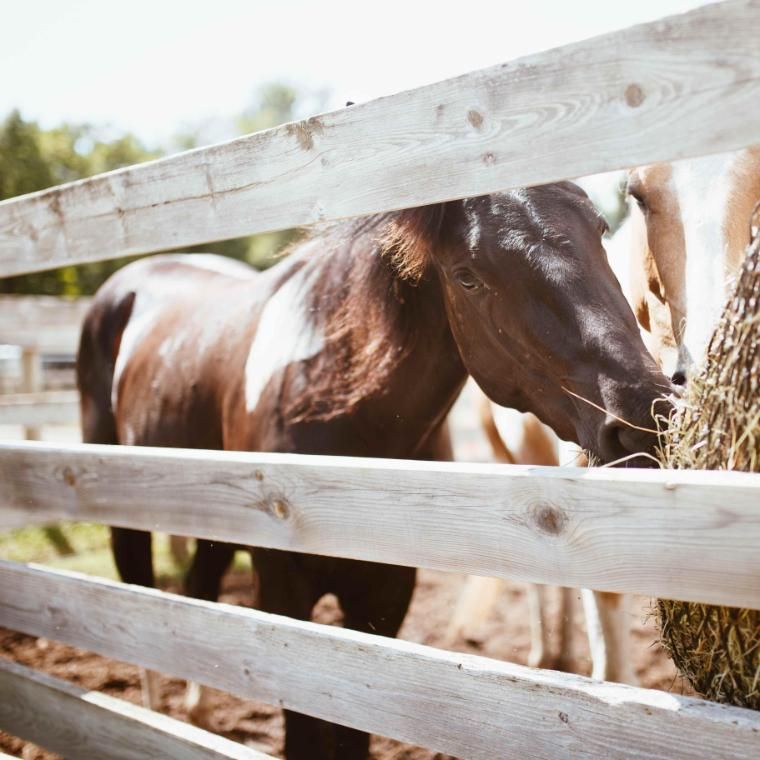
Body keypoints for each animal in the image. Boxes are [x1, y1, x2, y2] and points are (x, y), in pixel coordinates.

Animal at [77, 181, 672, 756]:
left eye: (599, 233)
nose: (643, 418)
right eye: (468, 276)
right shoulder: (284, 595)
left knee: (199, 587)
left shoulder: (385, 597)